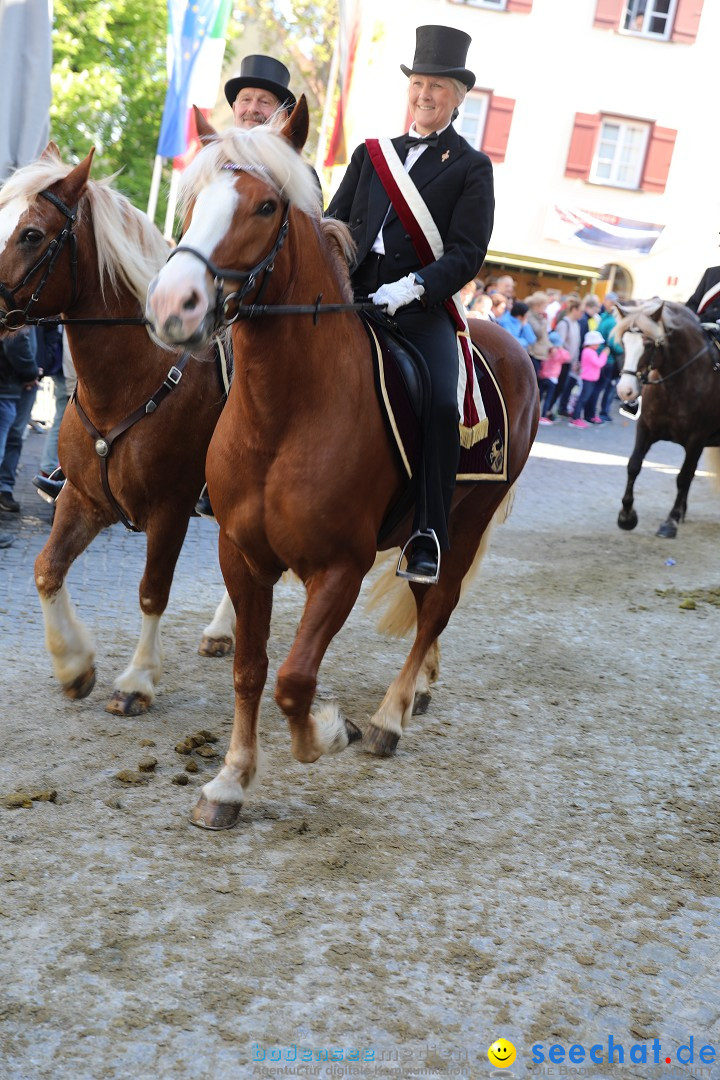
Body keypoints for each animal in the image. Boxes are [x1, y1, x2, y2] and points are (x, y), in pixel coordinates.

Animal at [0, 145, 234, 717]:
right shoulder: (82, 499)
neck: (129, 381)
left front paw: (137, 680)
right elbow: (46, 568)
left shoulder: (171, 510)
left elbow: (153, 590)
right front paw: (74, 665)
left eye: (32, 234)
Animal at [146, 99, 539, 825]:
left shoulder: (340, 568)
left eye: (265, 206)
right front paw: (230, 781)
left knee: (437, 604)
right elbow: (251, 670)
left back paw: (388, 717)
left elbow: (296, 678)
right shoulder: (242, 556)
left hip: (464, 521)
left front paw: (327, 734)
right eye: (191, 198)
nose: (170, 305)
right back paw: (419, 690)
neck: (285, 413)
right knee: (426, 607)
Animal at [613, 302, 720, 537]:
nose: (625, 391)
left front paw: (671, 521)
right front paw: (627, 516)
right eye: (624, 342)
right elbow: (634, 465)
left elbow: (683, 477)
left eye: (649, 345)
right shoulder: (645, 428)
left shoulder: (696, 439)